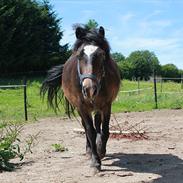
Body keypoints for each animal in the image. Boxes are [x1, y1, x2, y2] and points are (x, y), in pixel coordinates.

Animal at [41, 25, 121, 172]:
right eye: (79, 55)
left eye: (101, 55)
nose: (89, 89)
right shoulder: (82, 107)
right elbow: (90, 132)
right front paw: (95, 161)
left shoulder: (106, 105)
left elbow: (105, 131)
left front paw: (101, 151)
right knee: (86, 127)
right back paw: (89, 150)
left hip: (97, 107)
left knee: (97, 124)